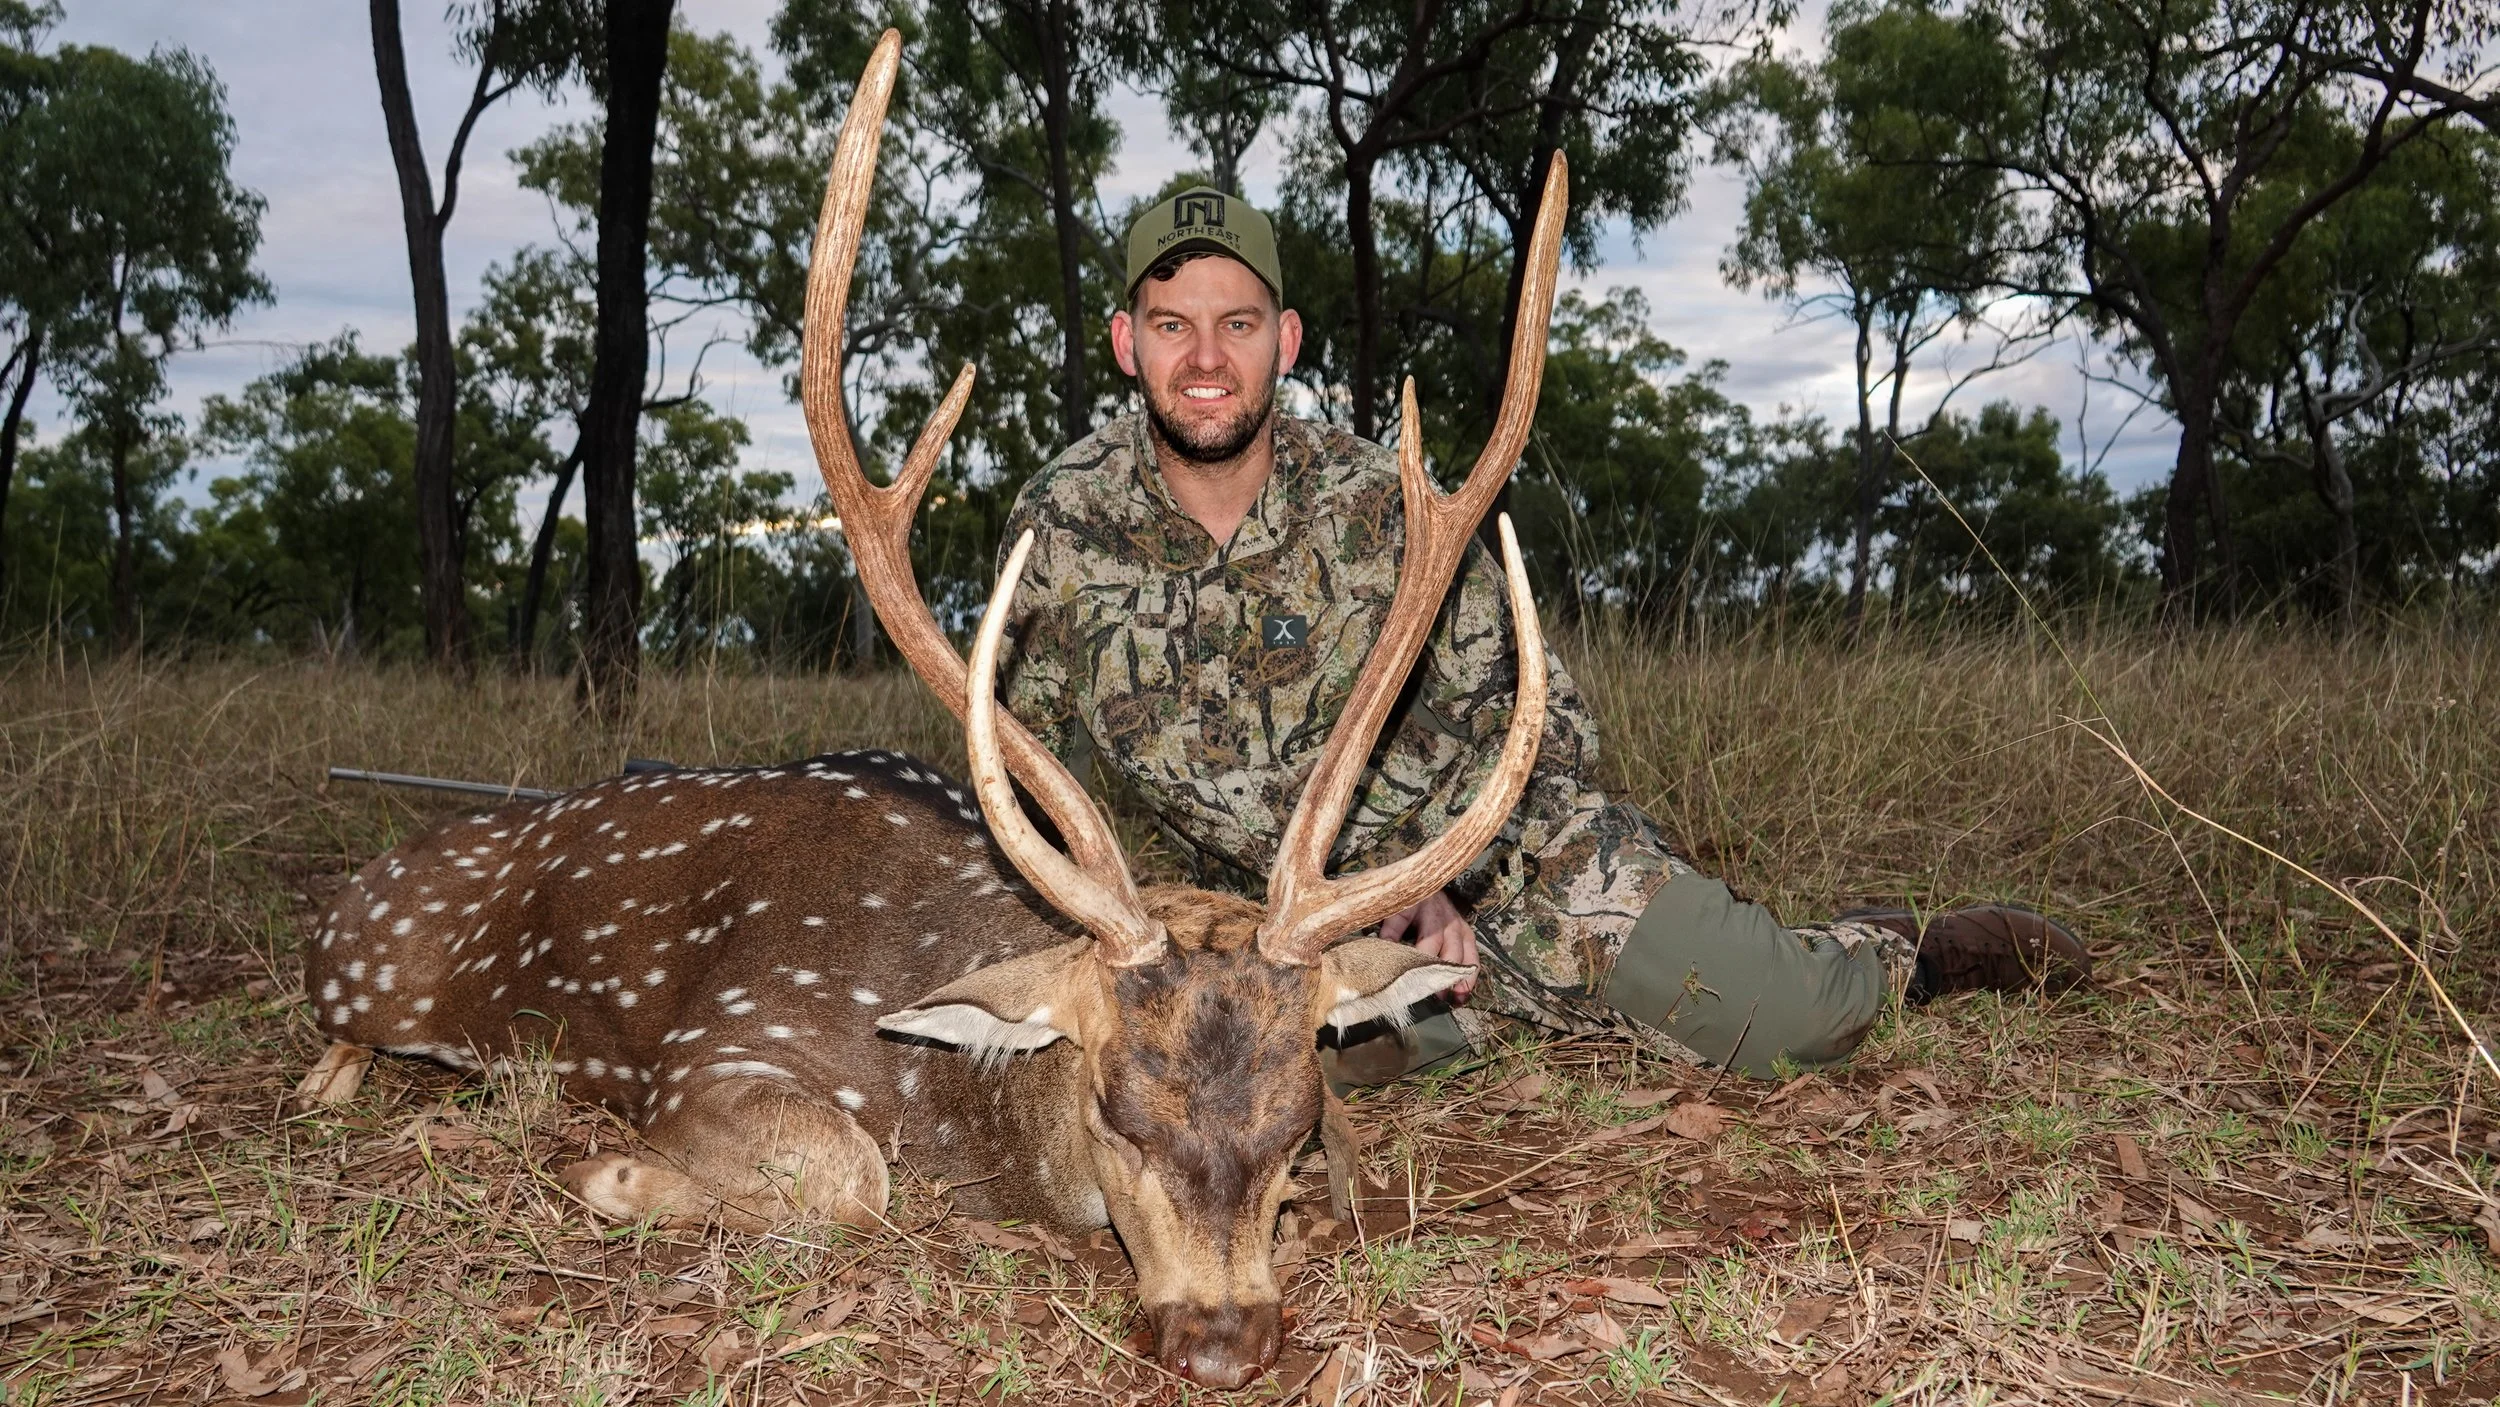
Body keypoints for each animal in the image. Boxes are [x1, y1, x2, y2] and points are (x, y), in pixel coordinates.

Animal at [292, 30, 1569, 1389]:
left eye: (1299, 1119)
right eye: (1114, 1110)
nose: (1221, 1344)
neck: (955, 1101)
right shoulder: (719, 1052)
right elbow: (850, 1175)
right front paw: (609, 1171)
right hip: (370, 973)